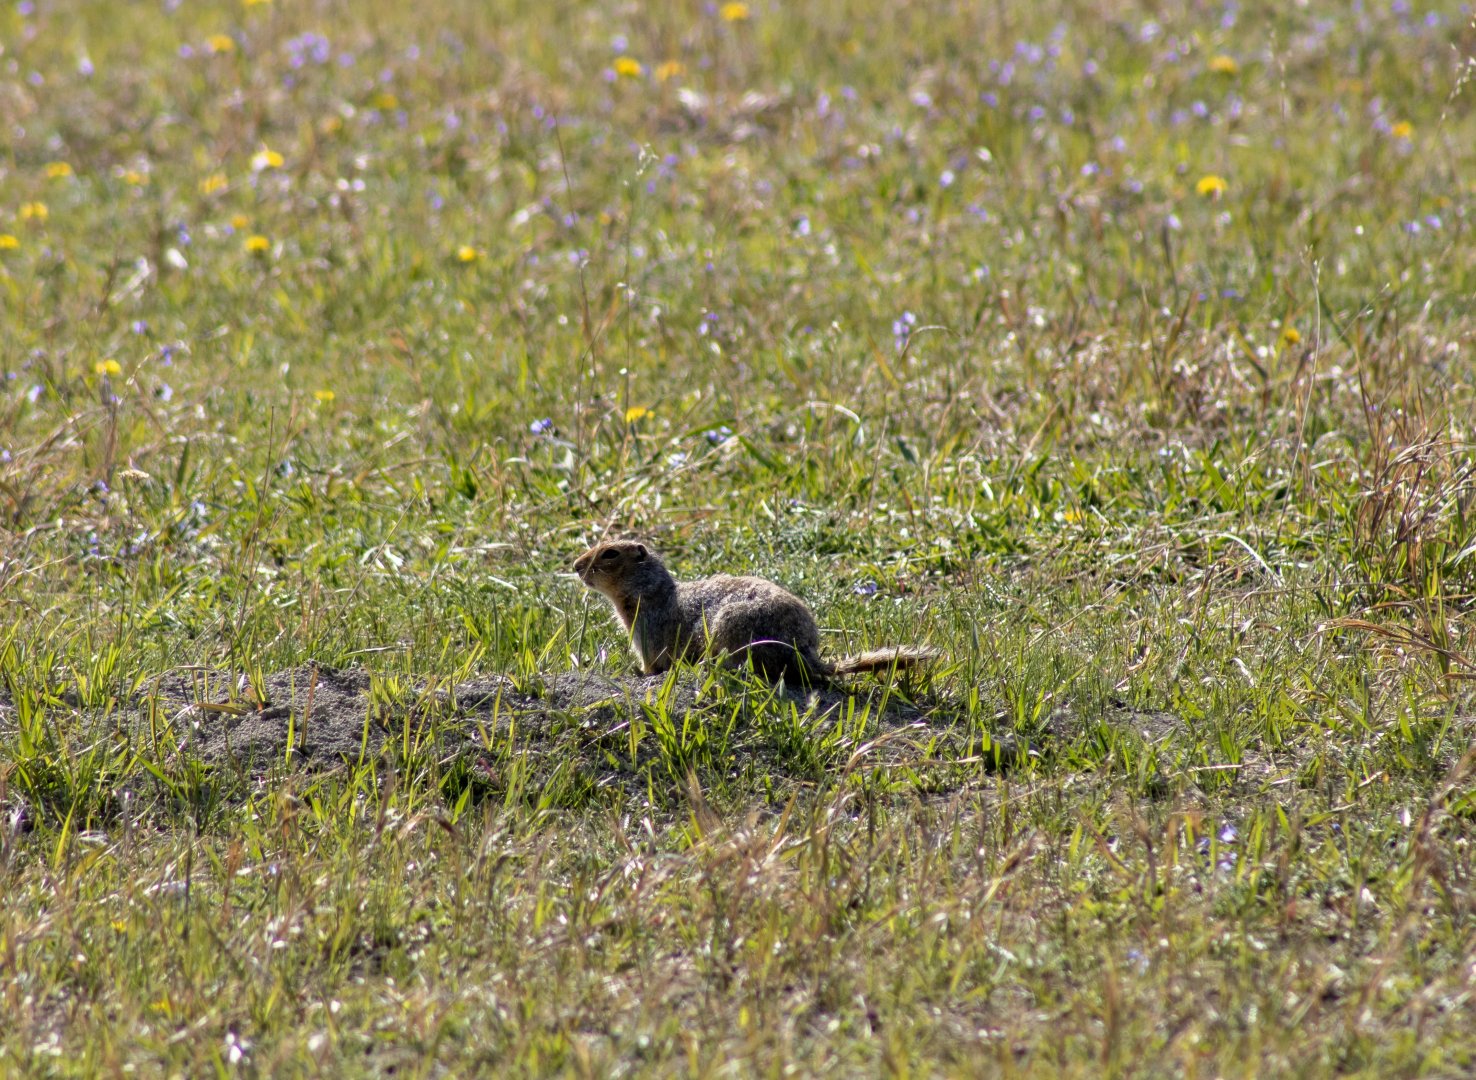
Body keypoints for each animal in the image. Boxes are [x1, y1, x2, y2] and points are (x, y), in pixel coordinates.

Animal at [572, 539, 940, 685]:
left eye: (610, 553)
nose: (575, 565)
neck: (650, 590)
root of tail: (805, 650)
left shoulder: (647, 629)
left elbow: (652, 663)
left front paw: (639, 672)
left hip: (730, 627)